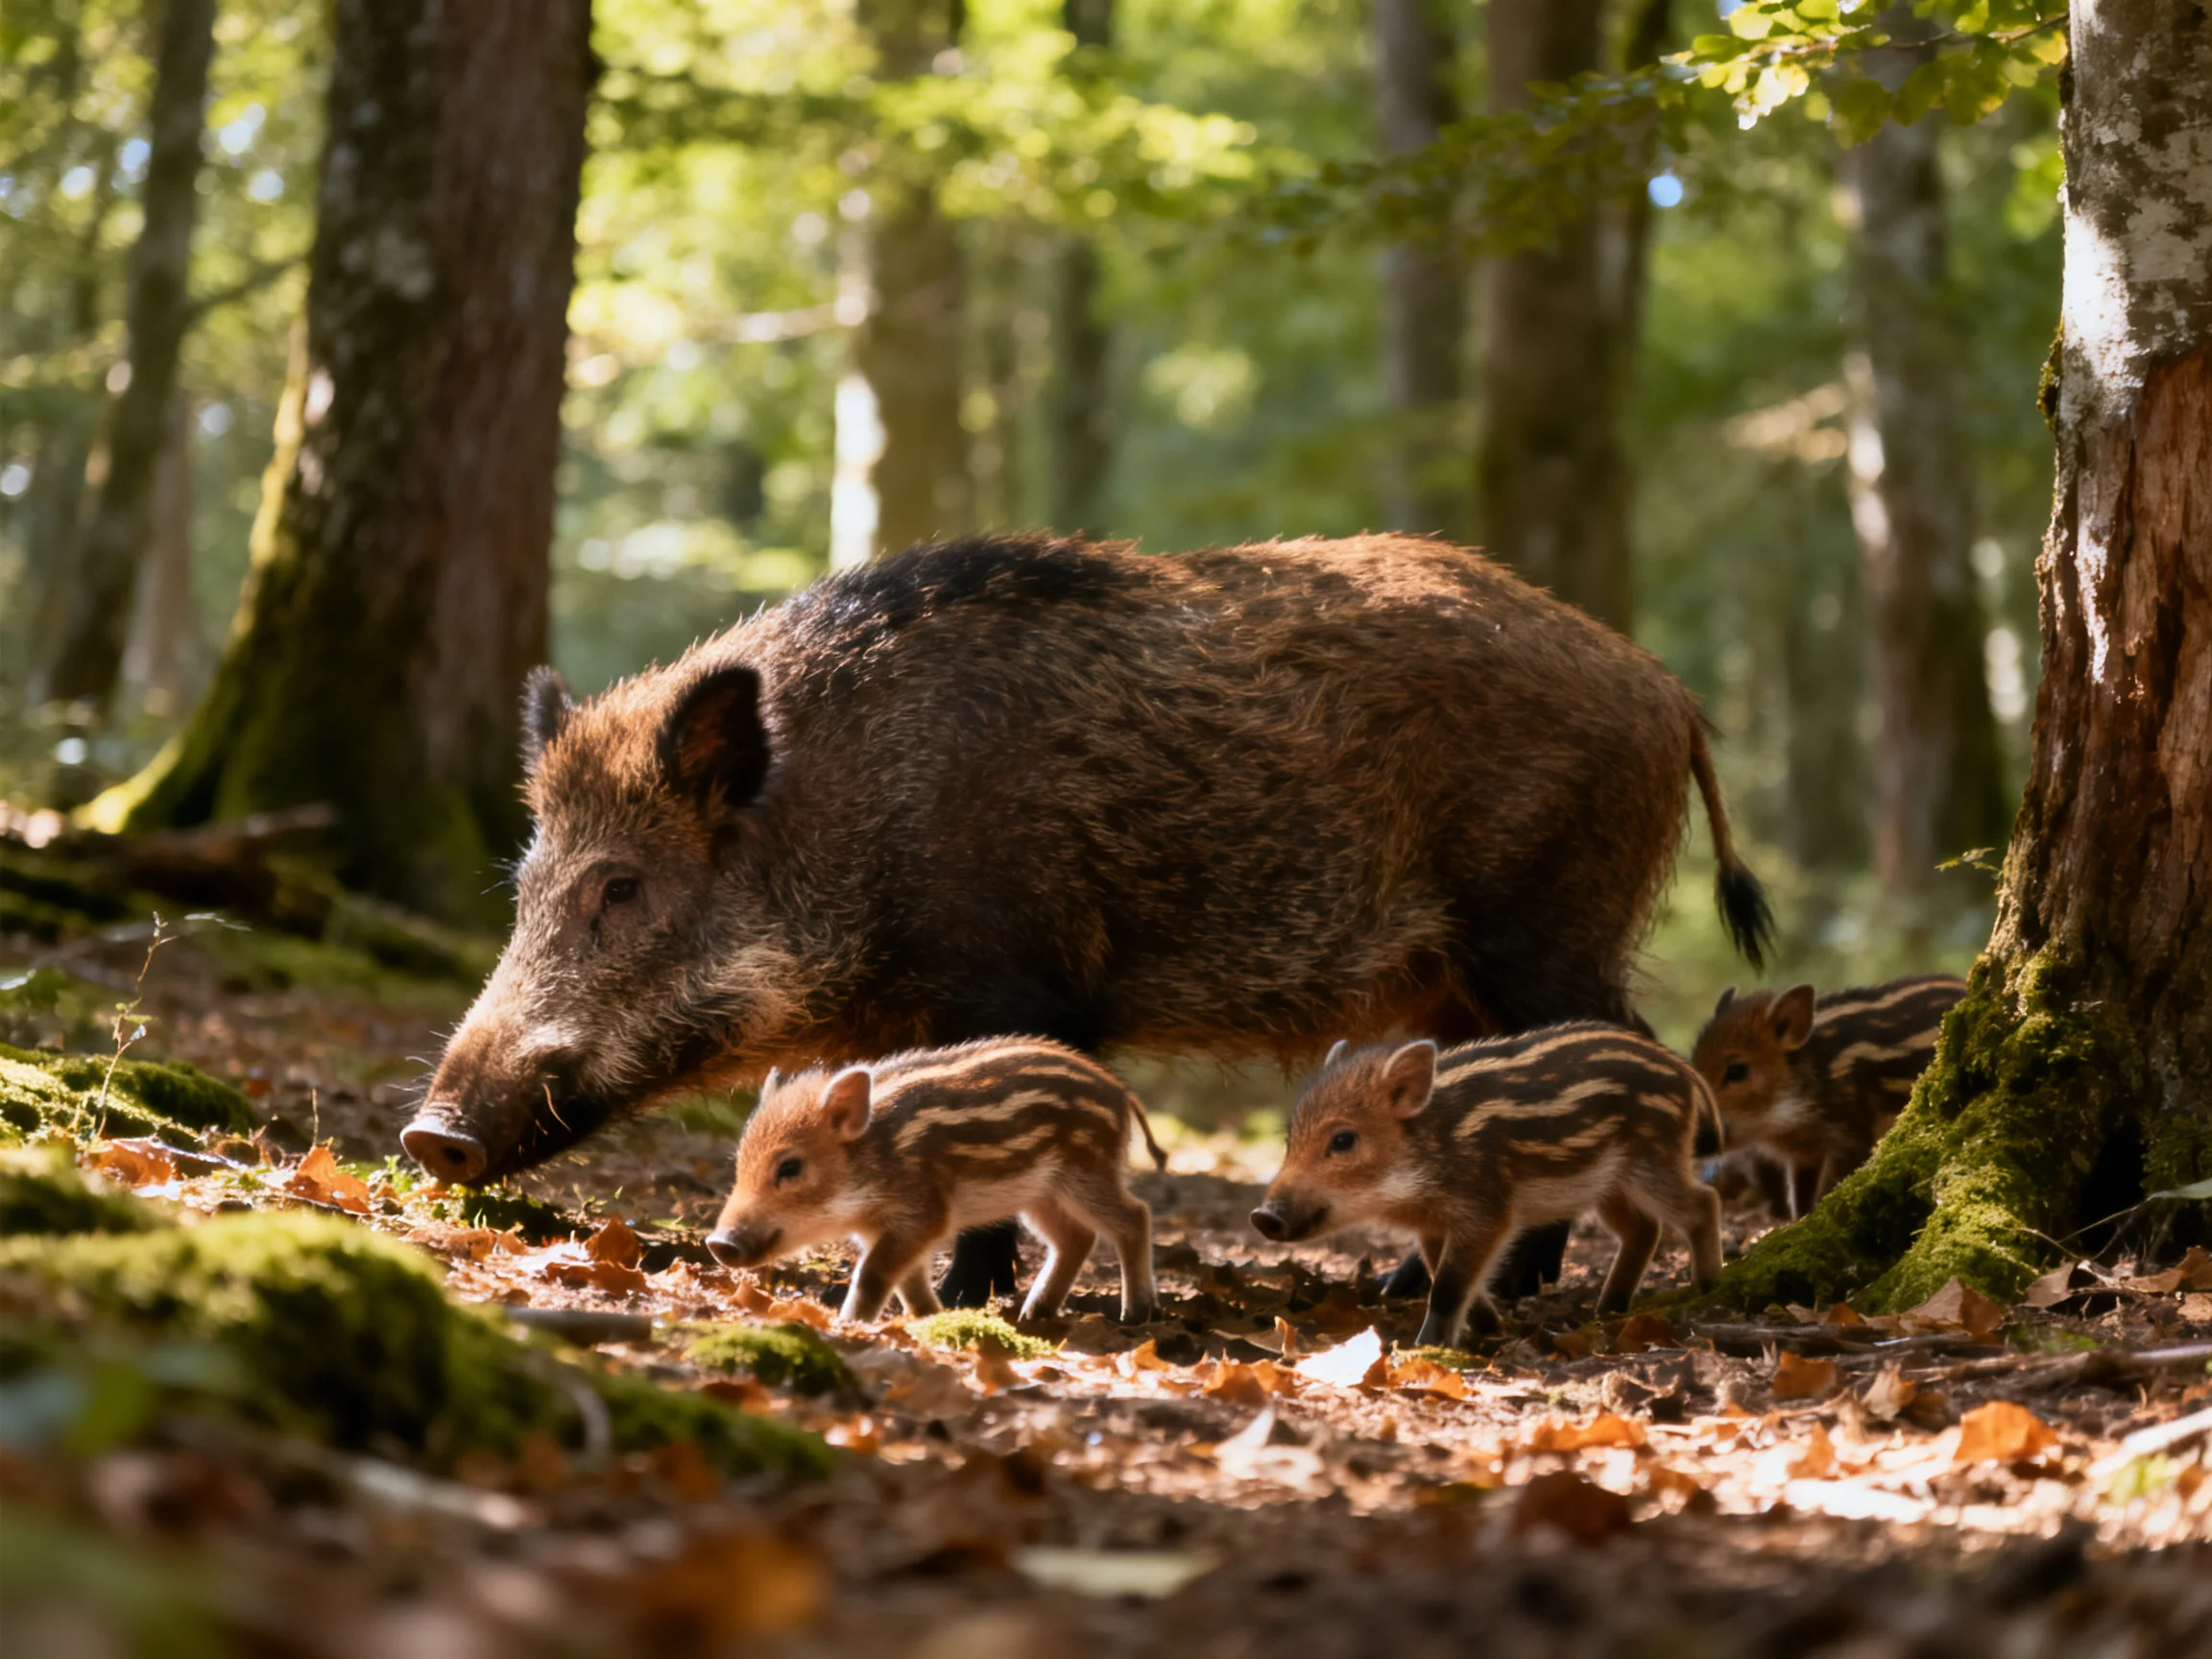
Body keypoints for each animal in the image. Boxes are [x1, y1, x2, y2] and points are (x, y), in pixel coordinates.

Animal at [704, 1038, 1165, 1324]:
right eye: (740, 1163)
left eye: (790, 1167)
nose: (717, 1243)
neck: (877, 1158)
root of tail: (1119, 1093)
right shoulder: (887, 1228)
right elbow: (907, 1283)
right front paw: (934, 1320)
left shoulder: (923, 1214)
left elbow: (873, 1275)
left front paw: (849, 1324)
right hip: (1040, 1194)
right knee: (1076, 1238)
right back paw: (1035, 1313)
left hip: (1086, 1174)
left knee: (1134, 1216)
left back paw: (1136, 1313)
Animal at [1249, 1026, 1724, 1347]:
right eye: (1291, 1138)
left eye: (1344, 1140)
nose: (1262, 1216)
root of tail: (1683, 1070)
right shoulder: (1434, 1224)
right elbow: (1446, 1273)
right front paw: (1489, 1328)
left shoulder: (1487, 1210)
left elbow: (1448, 1285)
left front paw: (1427, 1347)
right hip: (1610, 1186)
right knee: (1643, 1229)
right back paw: (1607, 1308)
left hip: (1651, 1163)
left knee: (1702, 1201)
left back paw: (1707, 1285)